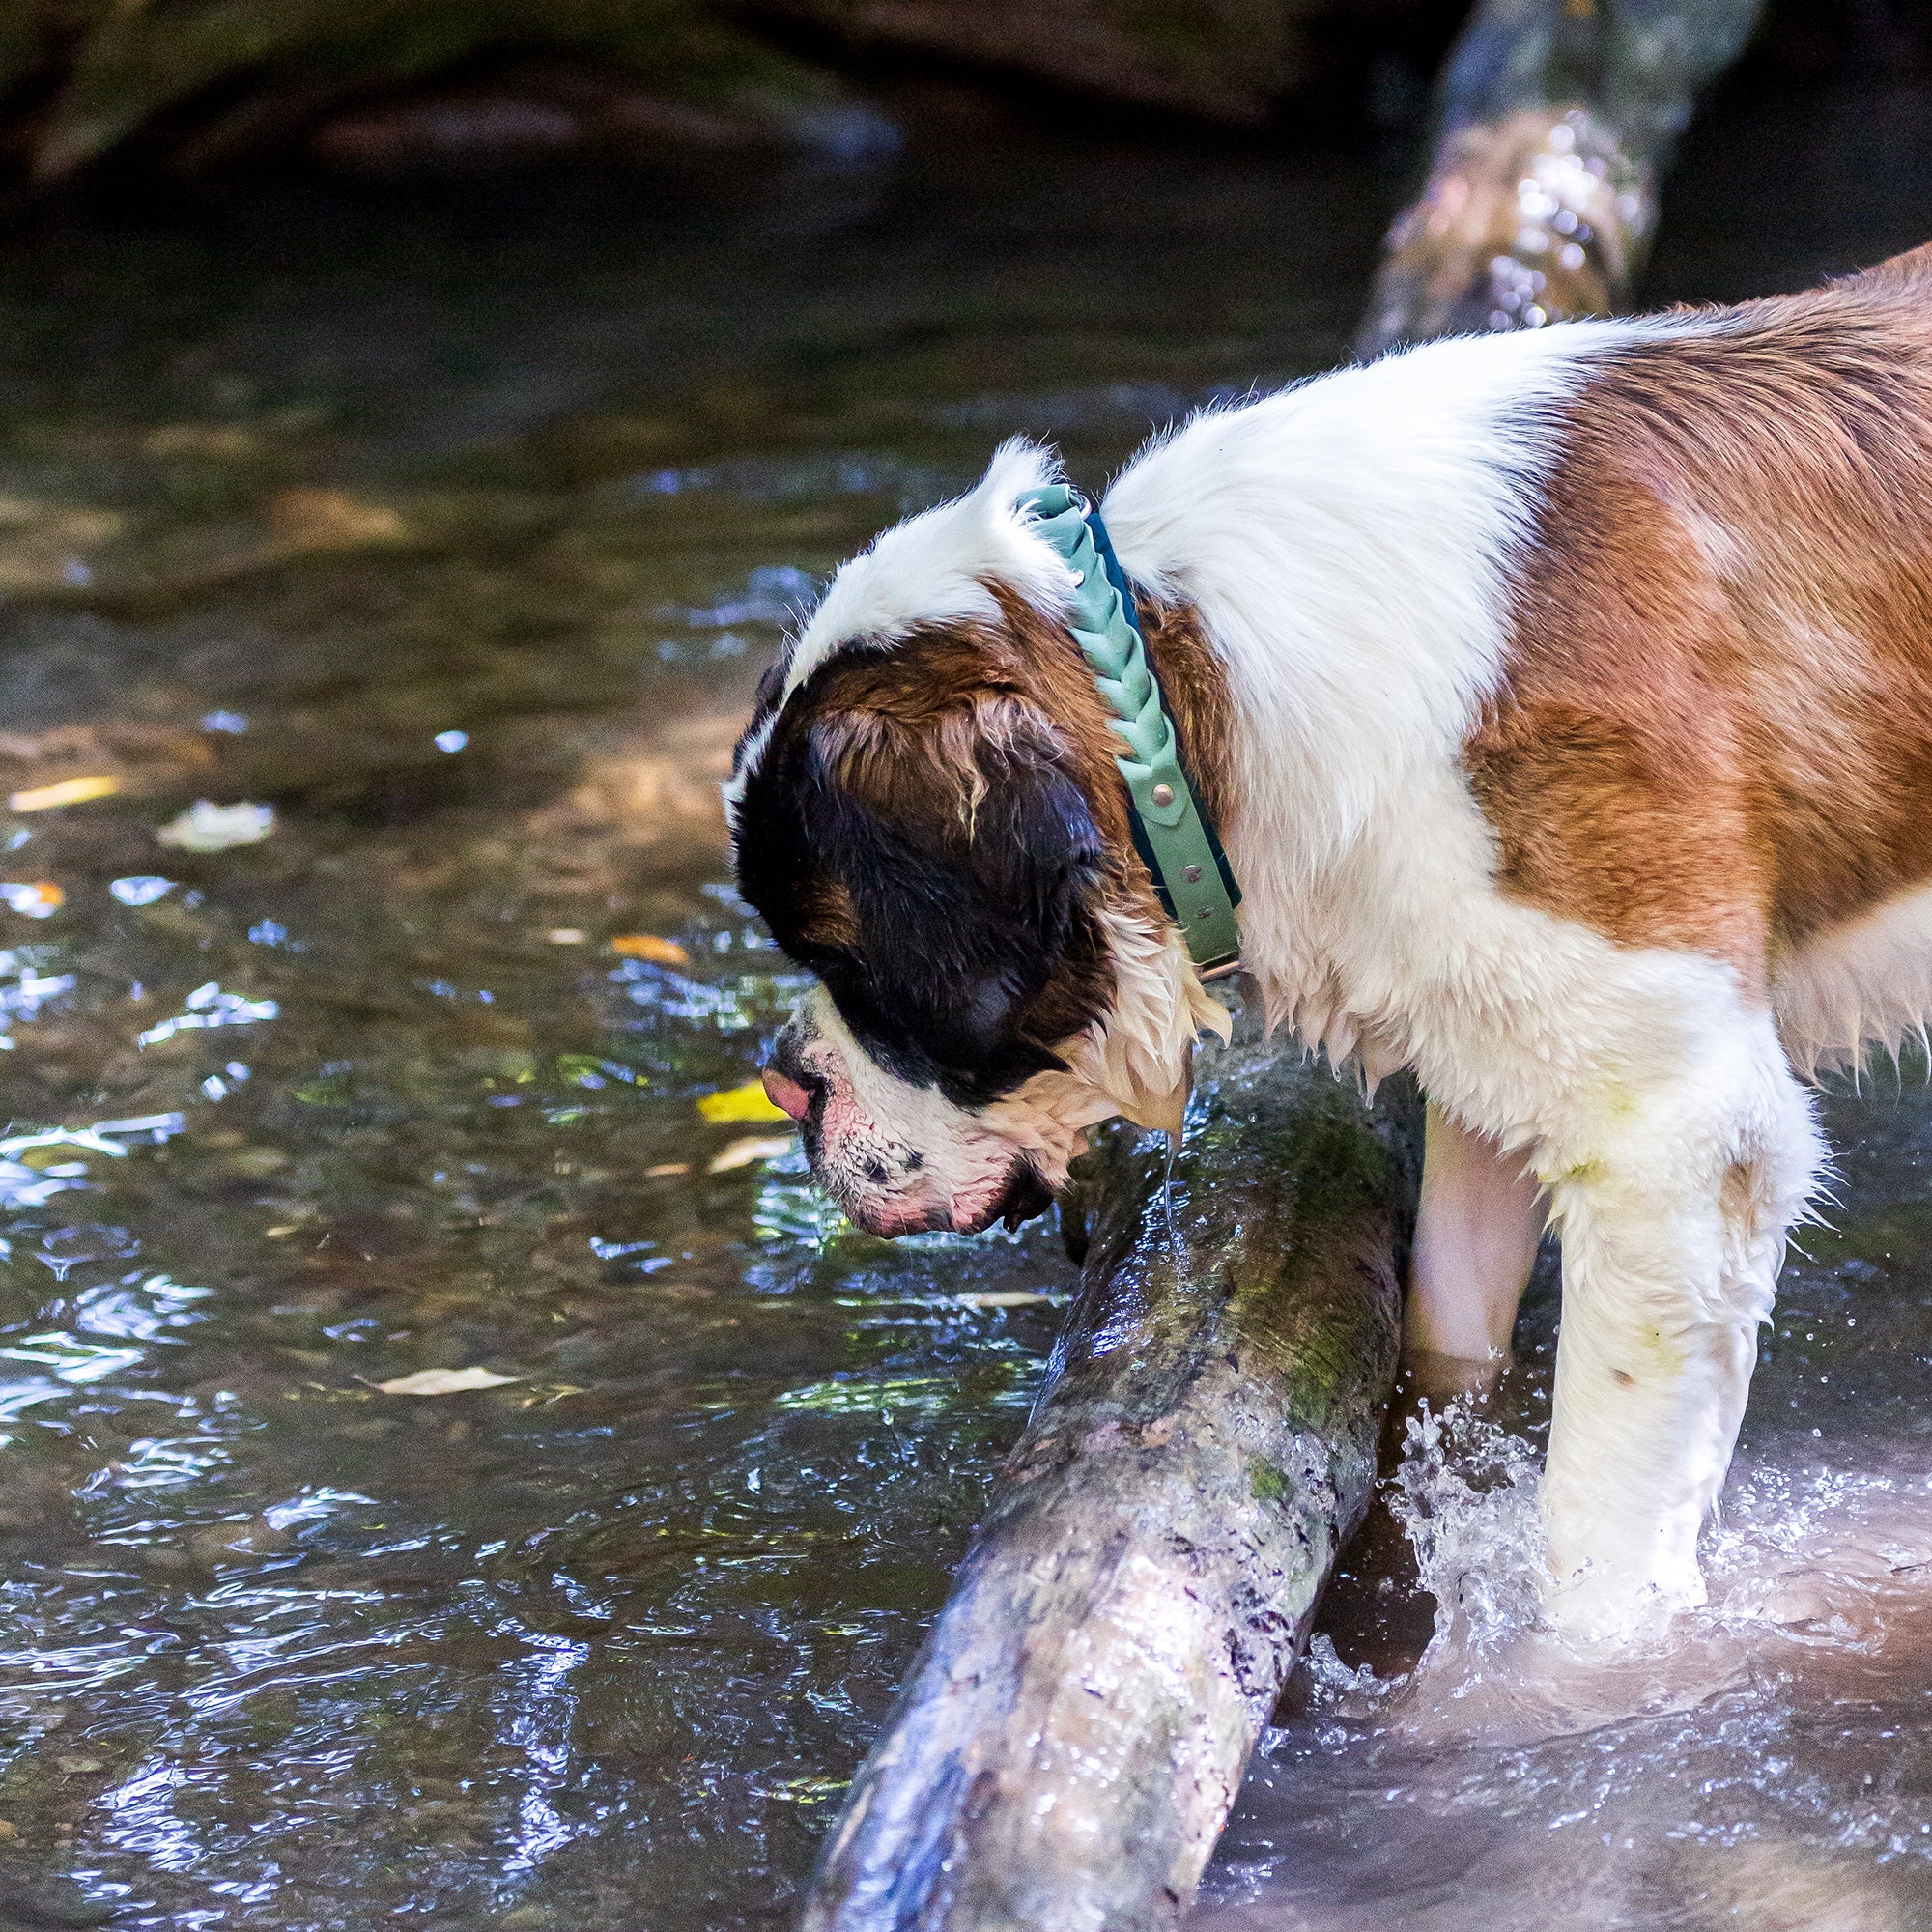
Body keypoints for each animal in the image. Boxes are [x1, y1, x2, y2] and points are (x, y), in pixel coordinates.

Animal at [726, 238, 1932, 1631]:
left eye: (842, 959)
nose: (784, 1084)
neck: (1184, 676)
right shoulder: (1498, 1030)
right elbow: (1446, 1334)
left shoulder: (1677, 1140)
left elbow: (1597, 1548)